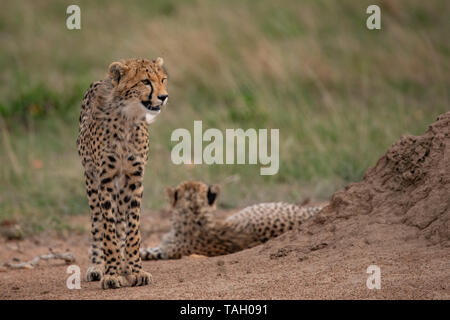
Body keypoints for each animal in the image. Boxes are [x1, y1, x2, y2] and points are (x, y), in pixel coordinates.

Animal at [77, 58, 169, 290]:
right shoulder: (105, 179)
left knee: (120, 221)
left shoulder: (135, 179)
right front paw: (111, 273)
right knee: (97, 222)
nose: (163, 97)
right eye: (145, 81)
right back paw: (98, 266)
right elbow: (108, 229)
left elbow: (132, 227)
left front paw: (134, 269)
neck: (129, 117)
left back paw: (124, 265)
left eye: (162, 79)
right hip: (91, 180)